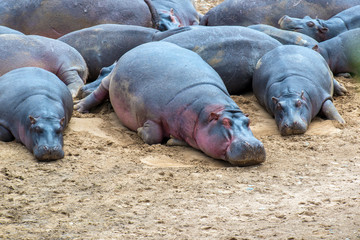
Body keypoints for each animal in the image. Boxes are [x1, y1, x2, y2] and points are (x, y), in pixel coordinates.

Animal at [75, 41, 268, 165]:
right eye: (226, 122)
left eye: (248, 121)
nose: (254, 146)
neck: (204, 114)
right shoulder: (151, 115)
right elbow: (153, 136)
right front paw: (140, 131)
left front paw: (172, 141)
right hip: (110, 80)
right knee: (99, 91)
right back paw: (80, 108)